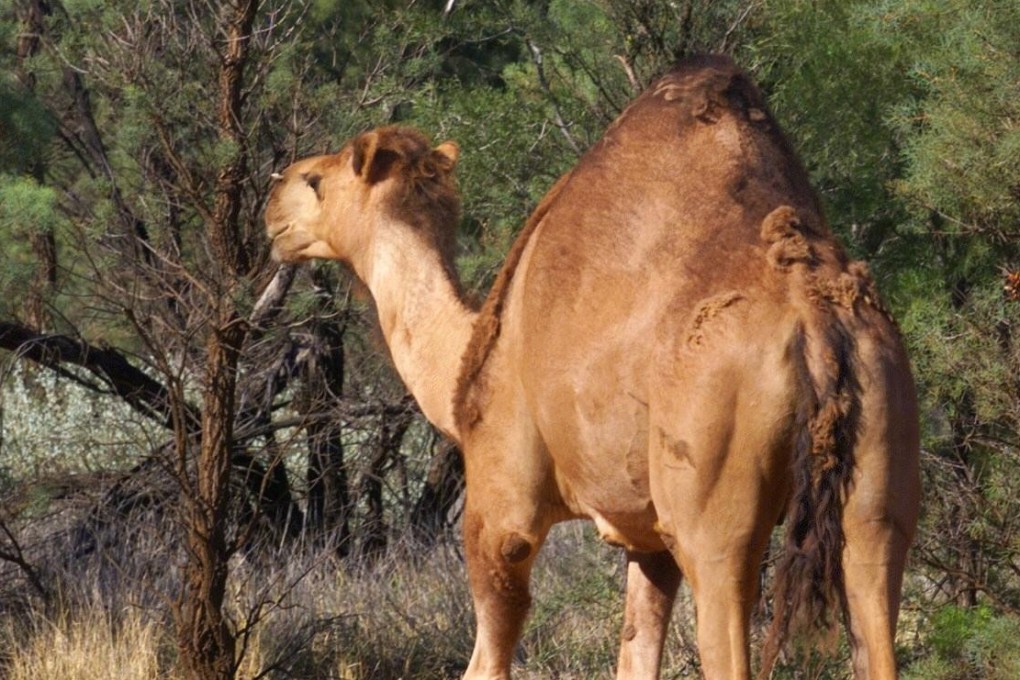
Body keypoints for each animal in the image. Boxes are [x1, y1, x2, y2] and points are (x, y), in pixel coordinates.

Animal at [265, 55, 920, 680]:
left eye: (315, 181)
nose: (272, 203)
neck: (464, 363)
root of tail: (816, 319)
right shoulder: (646, 541)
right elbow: (634, 655)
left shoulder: (501, 507)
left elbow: (486, 660)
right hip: (878, 477)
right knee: (875, 595)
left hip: (715, 520)